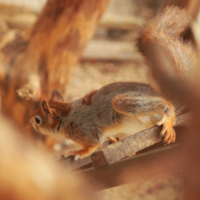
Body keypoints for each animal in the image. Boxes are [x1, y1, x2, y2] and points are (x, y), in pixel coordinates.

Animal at [30, 5, 195, 160]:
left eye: (38, 120)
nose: (31, 123)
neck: (65, 116)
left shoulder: (87, 131)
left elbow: (92, 146)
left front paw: (76, 152)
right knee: (131, 149)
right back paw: (116, 141)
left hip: (123, 102)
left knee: (165, 105)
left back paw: (168, 119)